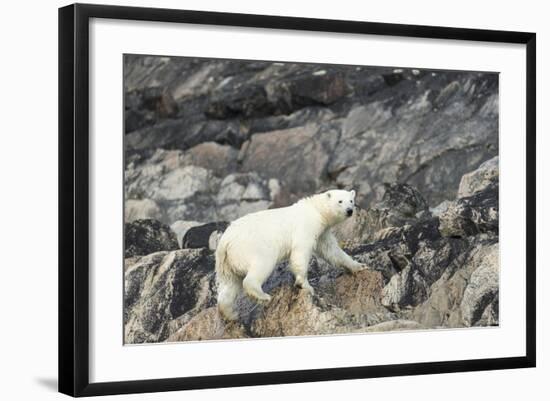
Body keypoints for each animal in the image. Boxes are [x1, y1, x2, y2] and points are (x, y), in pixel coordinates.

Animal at [216, 189, 366, 320]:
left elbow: (332, 250)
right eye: (340, 201)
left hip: (226, 262)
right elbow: (301, 251)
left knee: (230, 285)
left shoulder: (322, 232)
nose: (349, 210)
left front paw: (359, 266)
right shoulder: (306, 227)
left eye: (351, 200)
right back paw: (263, 296)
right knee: (260, 266)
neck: (316, 210)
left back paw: (230, 314)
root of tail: (225, 242)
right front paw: (305, 285)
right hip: (251, 248)